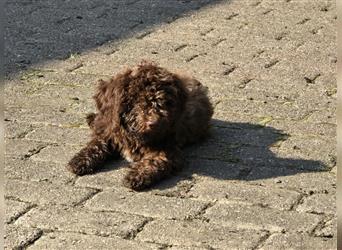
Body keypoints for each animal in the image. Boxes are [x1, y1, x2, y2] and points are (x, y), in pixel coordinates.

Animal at [67, 60, 214, 189]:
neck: (135, 135)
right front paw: (79, 160)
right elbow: (97, 143)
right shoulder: (112, 133)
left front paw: (136, 176)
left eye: (164, 102)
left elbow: (154, 161)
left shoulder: (168, 150)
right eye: (137, 102)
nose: (154, 122)